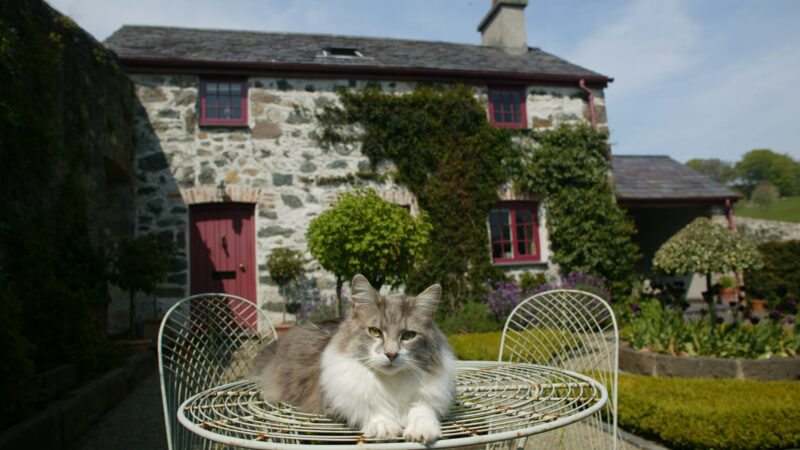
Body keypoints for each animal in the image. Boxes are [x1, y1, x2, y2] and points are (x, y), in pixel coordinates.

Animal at [253, 274, 460, 442]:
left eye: (409, 335)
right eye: (375, 332)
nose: (391, 354)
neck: (391, 381)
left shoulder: (432, 396)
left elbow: (422, 410)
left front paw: (422, 430)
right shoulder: (335, 402)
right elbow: (370, 407)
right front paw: (384, 426)